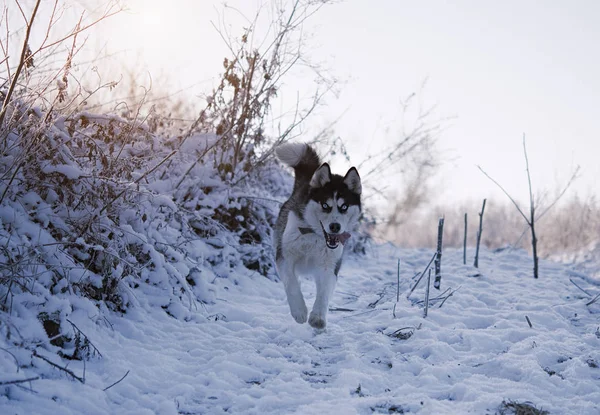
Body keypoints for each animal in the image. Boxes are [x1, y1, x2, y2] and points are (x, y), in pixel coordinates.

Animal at [274, 145, 360, 330]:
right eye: (325, 205)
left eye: (344, 207)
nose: (335, 227)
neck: (314, 236)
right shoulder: (284, 257)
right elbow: (291, 283)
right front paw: (299, 311)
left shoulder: (330, 265)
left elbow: (324, 292)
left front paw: (318, 317)